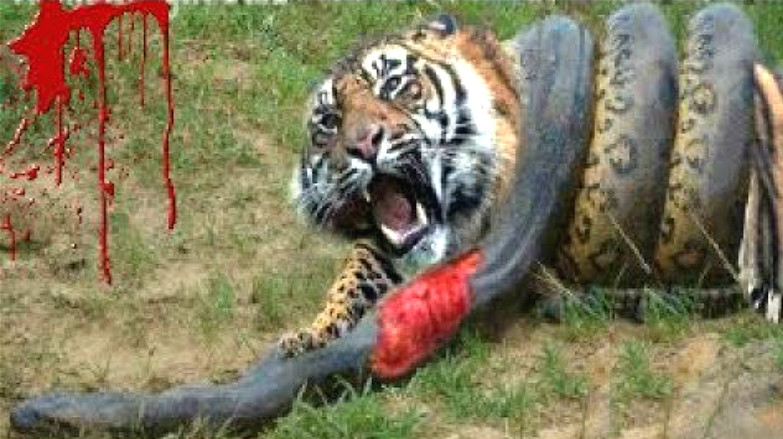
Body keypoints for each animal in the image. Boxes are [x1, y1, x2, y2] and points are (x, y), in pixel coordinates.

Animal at [279, 5, 783, 357]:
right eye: (329, 121)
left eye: (395, 87)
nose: (364, 145)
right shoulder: (382, 243)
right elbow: (352, 276)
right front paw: (311, 333)